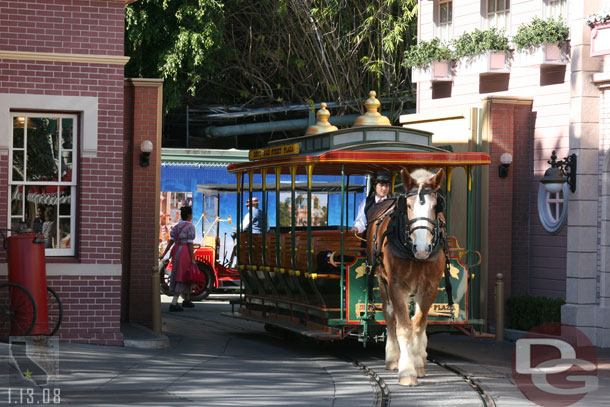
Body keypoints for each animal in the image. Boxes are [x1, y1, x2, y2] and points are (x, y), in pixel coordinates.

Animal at [364, 167, 444, 388]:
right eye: (407, 205)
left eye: (436, 206)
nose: (422, 248)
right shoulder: (396, 286)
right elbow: (404, 327)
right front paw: (407, 371)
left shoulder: (430, 287)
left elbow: (418, 323)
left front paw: (416, 363)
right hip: (382, 281)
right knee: (390, 315)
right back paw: (393, 357)